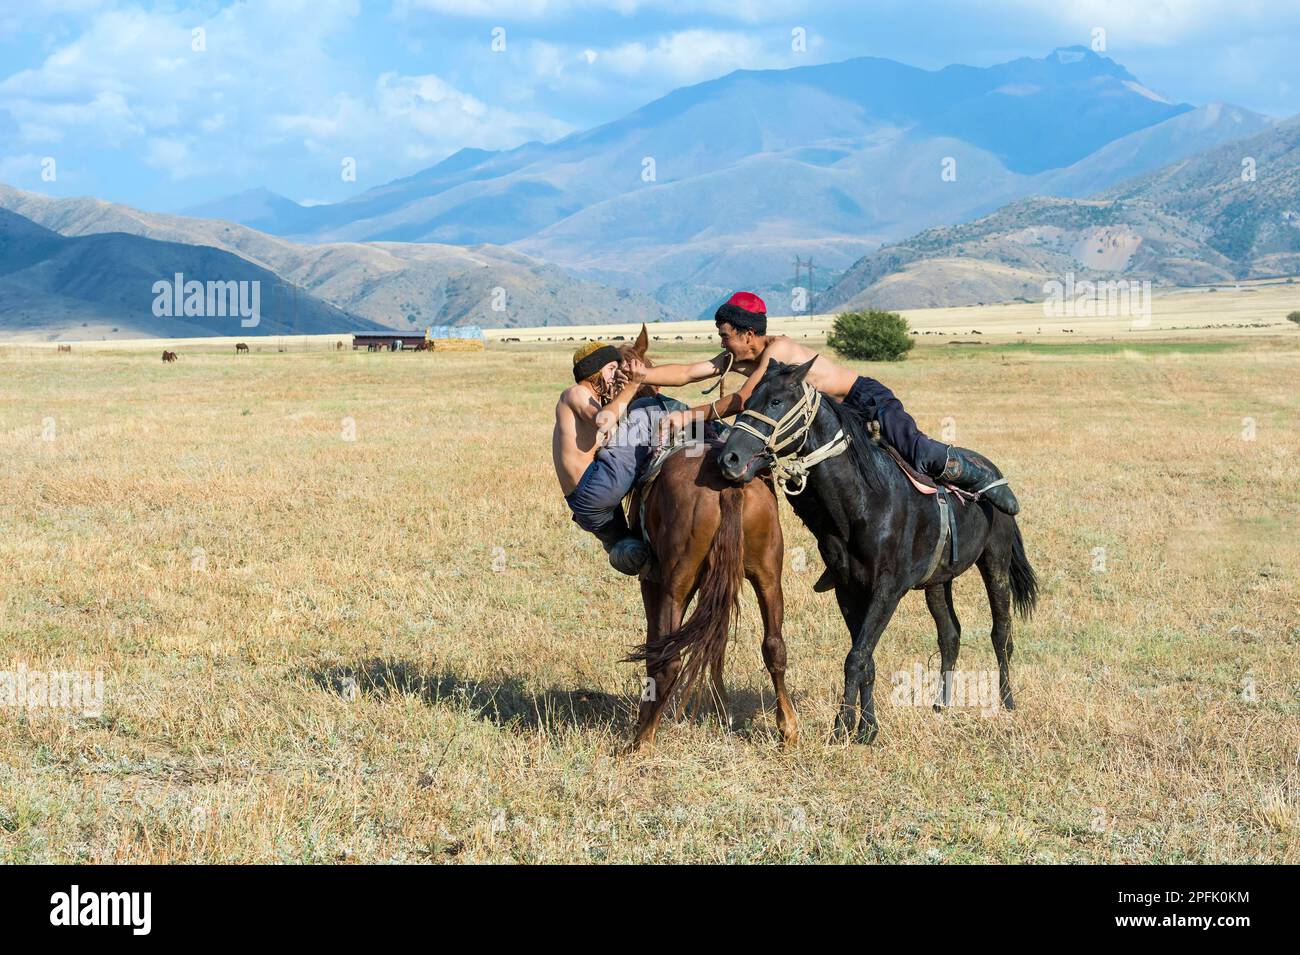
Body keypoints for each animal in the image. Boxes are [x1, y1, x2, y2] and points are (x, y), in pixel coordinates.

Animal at [617, 327, 795, 750]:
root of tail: (727, 486)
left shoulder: (653, 580)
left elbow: (656, 644)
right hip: (768, 574)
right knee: (774, 646)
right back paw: (788, 729)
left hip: (677, 582)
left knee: (669, 658)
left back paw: (641, 740)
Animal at [718, 358, 1038, 743]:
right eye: (750, 398)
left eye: (777, 401)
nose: (730, 458)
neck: (867, 501)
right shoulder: (848, 588)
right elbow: (865, 657)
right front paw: (867, 728)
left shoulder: (888, 589)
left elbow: (856, 657)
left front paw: (842, 727)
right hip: (937, 582)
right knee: (950, 636)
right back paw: (940, 704)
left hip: (995, 562)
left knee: (1001, 633)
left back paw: (1006, 702)